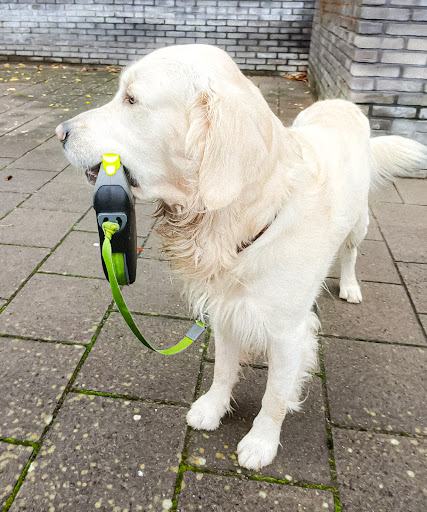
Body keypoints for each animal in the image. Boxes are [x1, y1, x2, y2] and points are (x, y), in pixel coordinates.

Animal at [56, 44, 427, 470]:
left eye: (131, 100)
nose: (59, 132)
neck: (243, 222)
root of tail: (340, 103)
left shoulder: (288, 332)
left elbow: (276, 396)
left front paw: (262, 441)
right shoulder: (225, 310)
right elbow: (222, 370)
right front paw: (213, 407)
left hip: (359, 222)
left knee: (350, 253)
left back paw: (350, 286)